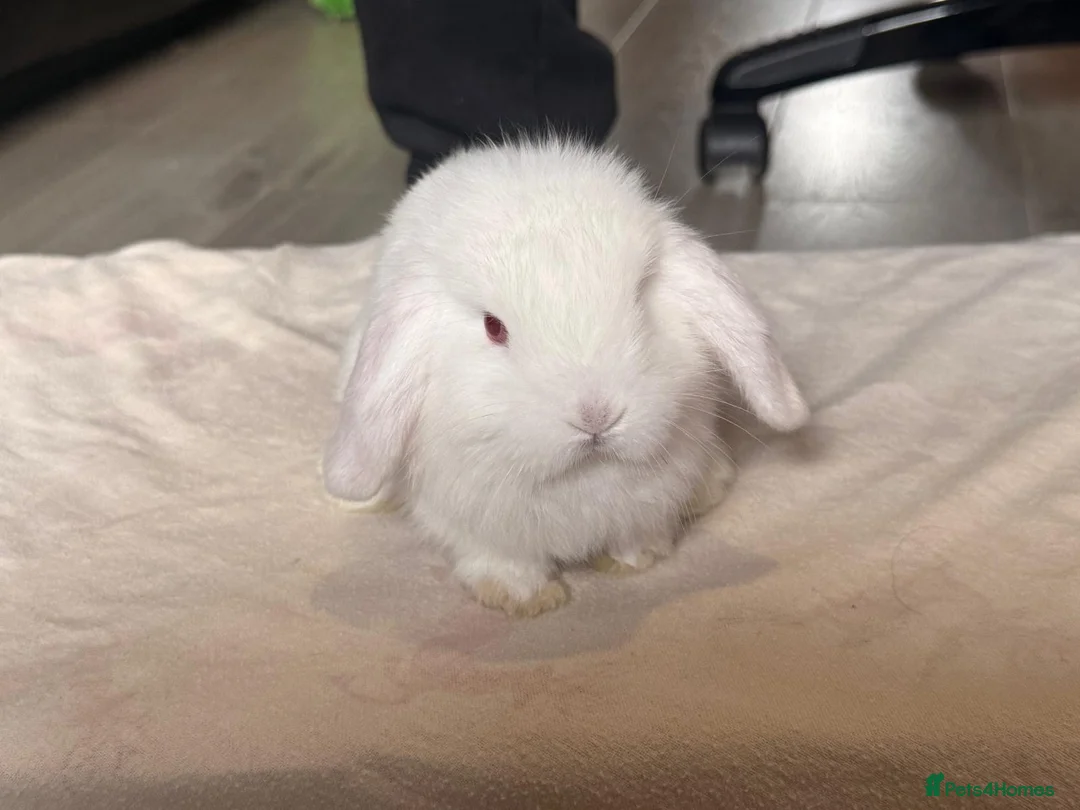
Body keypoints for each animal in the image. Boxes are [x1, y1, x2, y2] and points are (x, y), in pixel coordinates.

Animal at [323, 138, 808, 618]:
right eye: (493, 327)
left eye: (640, 295)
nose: (597, 416)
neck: (583, 478)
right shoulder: (478, 525)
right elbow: (500, 559)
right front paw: (522, 598)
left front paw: (634, 559)